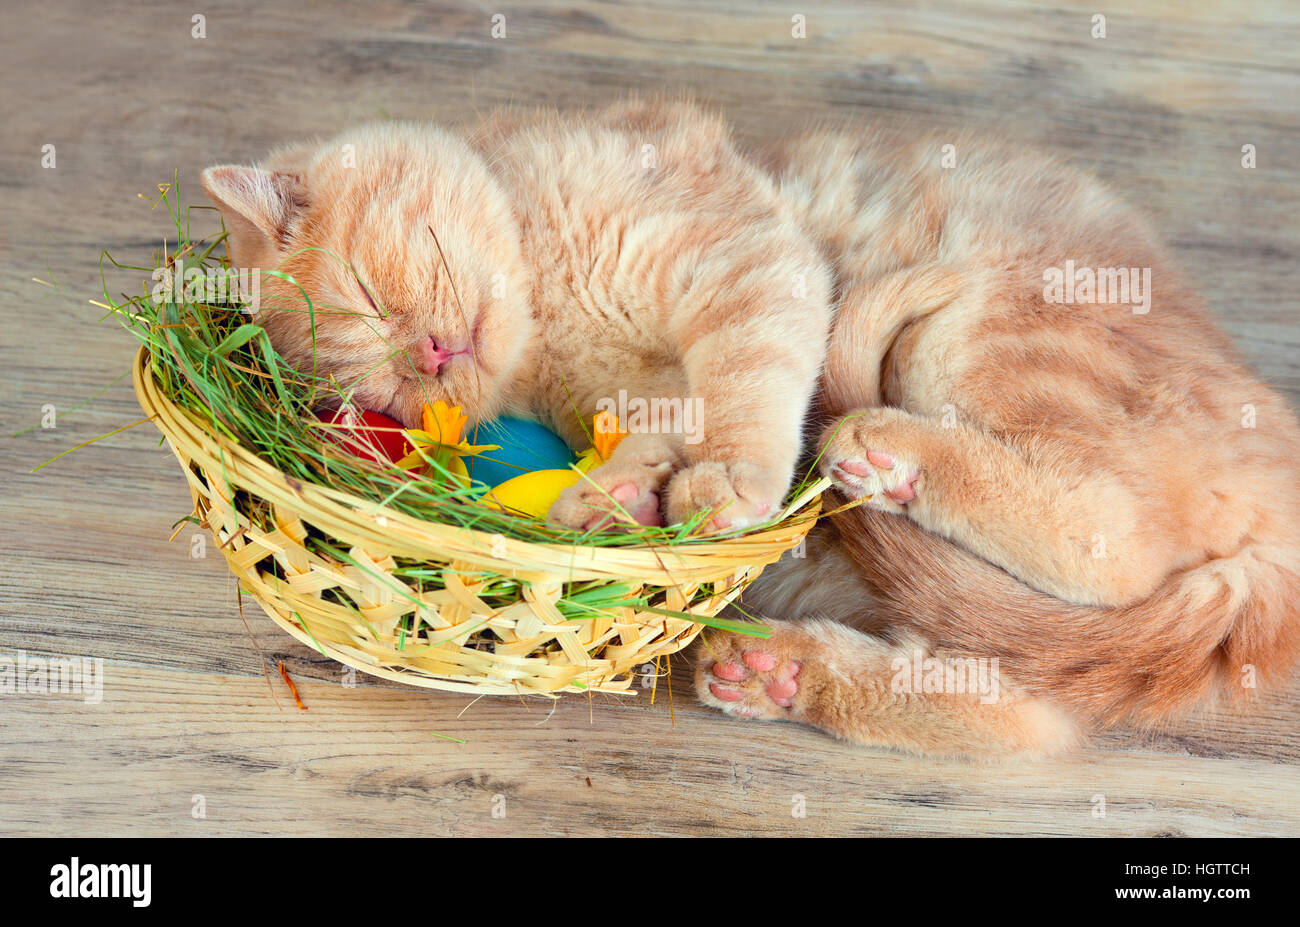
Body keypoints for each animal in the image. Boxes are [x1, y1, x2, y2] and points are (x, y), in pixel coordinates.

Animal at [202, 101, 1300, 754]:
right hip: (1014, 633)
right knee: (1015, 706)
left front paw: (722, 481)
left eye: (362, 295)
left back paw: (889, 452)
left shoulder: (742, 257)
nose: (426, 357)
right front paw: (612, 498)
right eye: (375, 390)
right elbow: (651, 438)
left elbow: (746, 380)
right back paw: (779, 670)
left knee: (1114, 537)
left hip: (993, 344)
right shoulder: (634, 396)